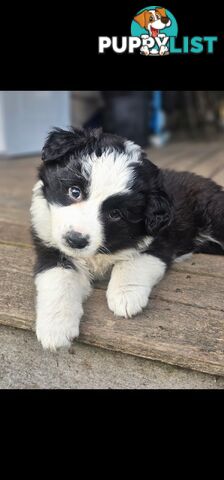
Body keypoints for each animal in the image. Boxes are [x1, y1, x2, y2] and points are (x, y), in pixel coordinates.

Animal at [30, 127, 224, 350]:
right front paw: (55, 328)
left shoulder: (159, 241)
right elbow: (58, 280)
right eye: (74, 191)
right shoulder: (50, 247)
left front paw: (125, 296)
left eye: (115, 214)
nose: (75, 240)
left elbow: (132, 262)